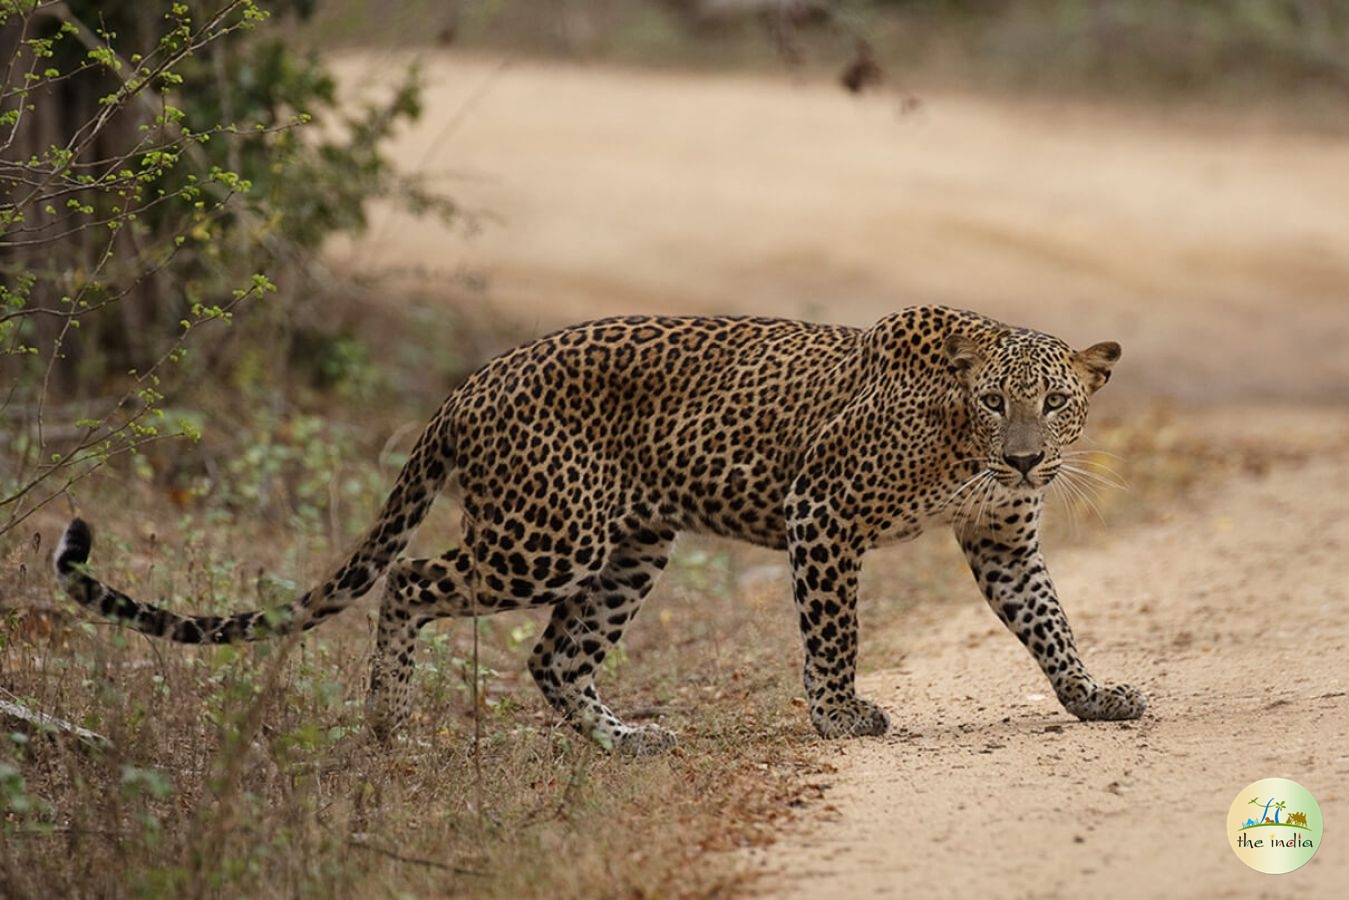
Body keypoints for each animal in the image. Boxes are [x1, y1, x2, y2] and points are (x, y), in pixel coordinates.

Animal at [55, 306, 1149, 755]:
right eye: (992, 398)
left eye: (1054, 403)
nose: (1024, 459)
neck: (959, 444)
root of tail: (469, 384)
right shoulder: (824, 514)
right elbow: (832, 634)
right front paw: (840, 717)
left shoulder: (1001, 540)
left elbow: (1048, 623)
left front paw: (1090, 698)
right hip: (545, 535)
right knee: (410, 582)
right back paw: (386, 721)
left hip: (630, 546)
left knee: (552, 657)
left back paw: (622, 740)